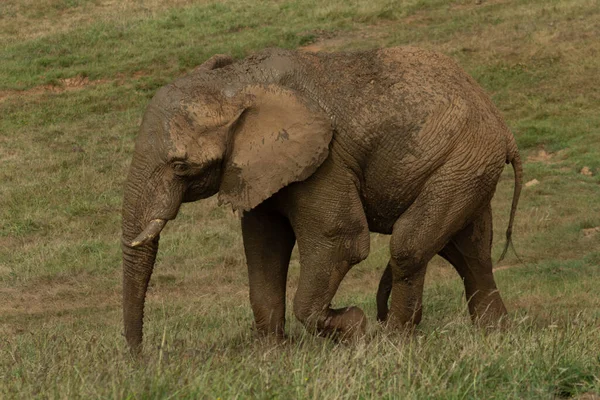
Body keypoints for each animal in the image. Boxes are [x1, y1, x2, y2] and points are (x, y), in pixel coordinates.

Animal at [120, 47, 520, 354]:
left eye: (180, 165)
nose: (140, 359)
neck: (235, 83)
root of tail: (502, 125)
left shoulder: (325, 161)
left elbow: (340, 240)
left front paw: (356, 329)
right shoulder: (259, 168)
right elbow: (264, 246)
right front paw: (272, 355)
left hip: (466, 158)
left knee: (411, 245)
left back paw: (395, 342)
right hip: (467, 165)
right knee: (468, 251)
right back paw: (494, 335)